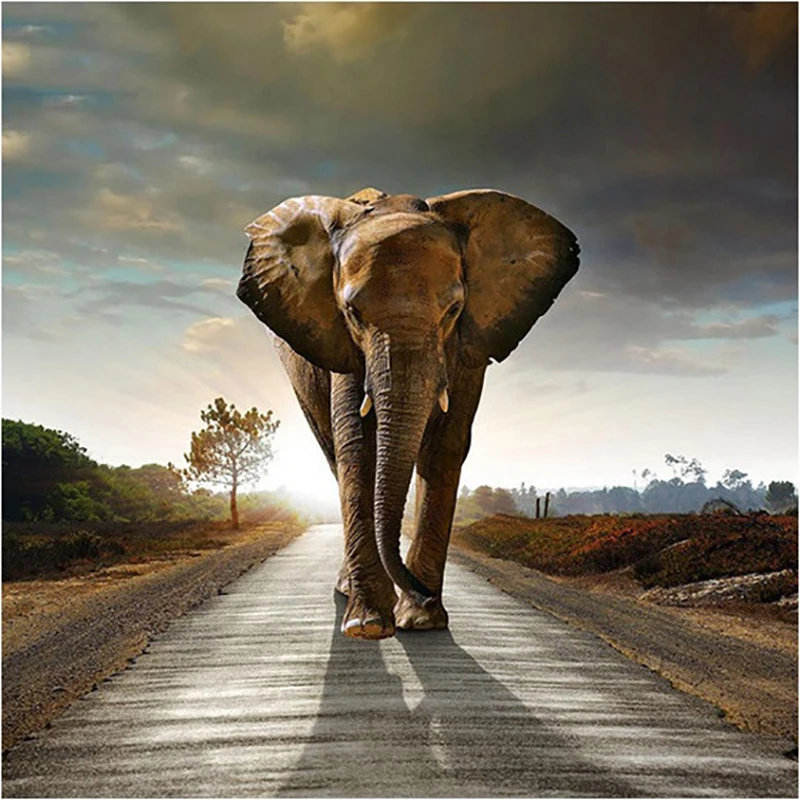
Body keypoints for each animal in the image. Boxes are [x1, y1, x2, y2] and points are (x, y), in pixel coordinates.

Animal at [237, 187, 579, 640]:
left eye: (453, 310)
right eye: (353, 313)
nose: (421, 591)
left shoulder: (468, 345)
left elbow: (445, 447)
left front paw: (421, 620)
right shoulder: (343, 347)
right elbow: (358, 447)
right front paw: (368, 625)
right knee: (333, 454)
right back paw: (349, 592)